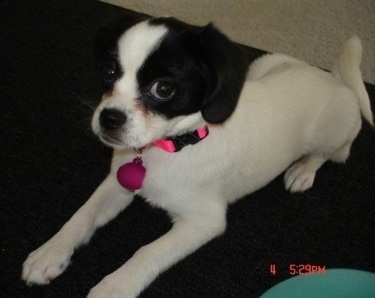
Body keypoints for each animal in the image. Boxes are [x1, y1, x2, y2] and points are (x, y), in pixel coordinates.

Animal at [22, 16, 374, 298]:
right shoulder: (118, 183)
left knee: (333, 153)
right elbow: (83, 214)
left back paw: (303, 170)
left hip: (335, 128)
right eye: (108, 72)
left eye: (164, 88)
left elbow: (147, 252)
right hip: (262, 65)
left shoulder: (204, 221)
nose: (108, 118)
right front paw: (50, 252)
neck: (171, 145)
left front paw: (114, 287)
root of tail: (334, 80)